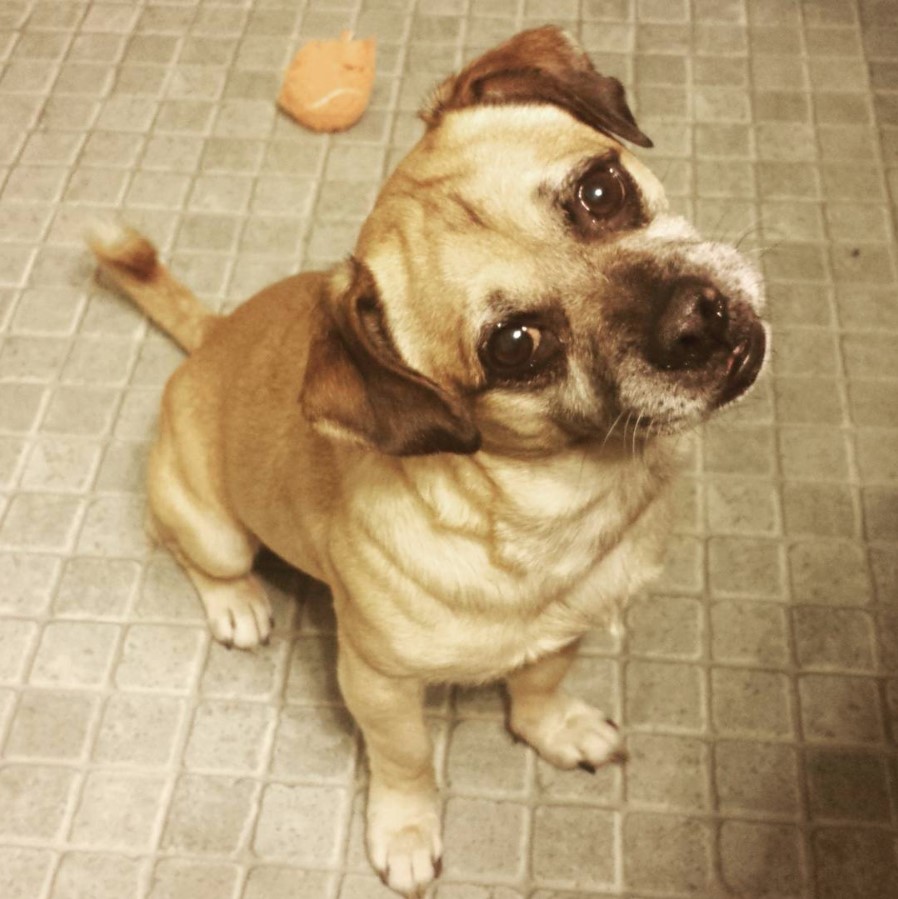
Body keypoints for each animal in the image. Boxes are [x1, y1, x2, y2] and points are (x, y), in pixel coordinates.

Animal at [89, 28, 764, 899]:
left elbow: (538, 687)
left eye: (601, 189)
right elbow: (406, 761)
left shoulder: (563, 634)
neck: (564, 491)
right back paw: (237, 603)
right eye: (515, 345)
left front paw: (554, 728)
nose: (691, 319)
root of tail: (211, 336)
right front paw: (406, 830)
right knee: (195, 554)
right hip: (215, 529)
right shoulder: (378, 685)